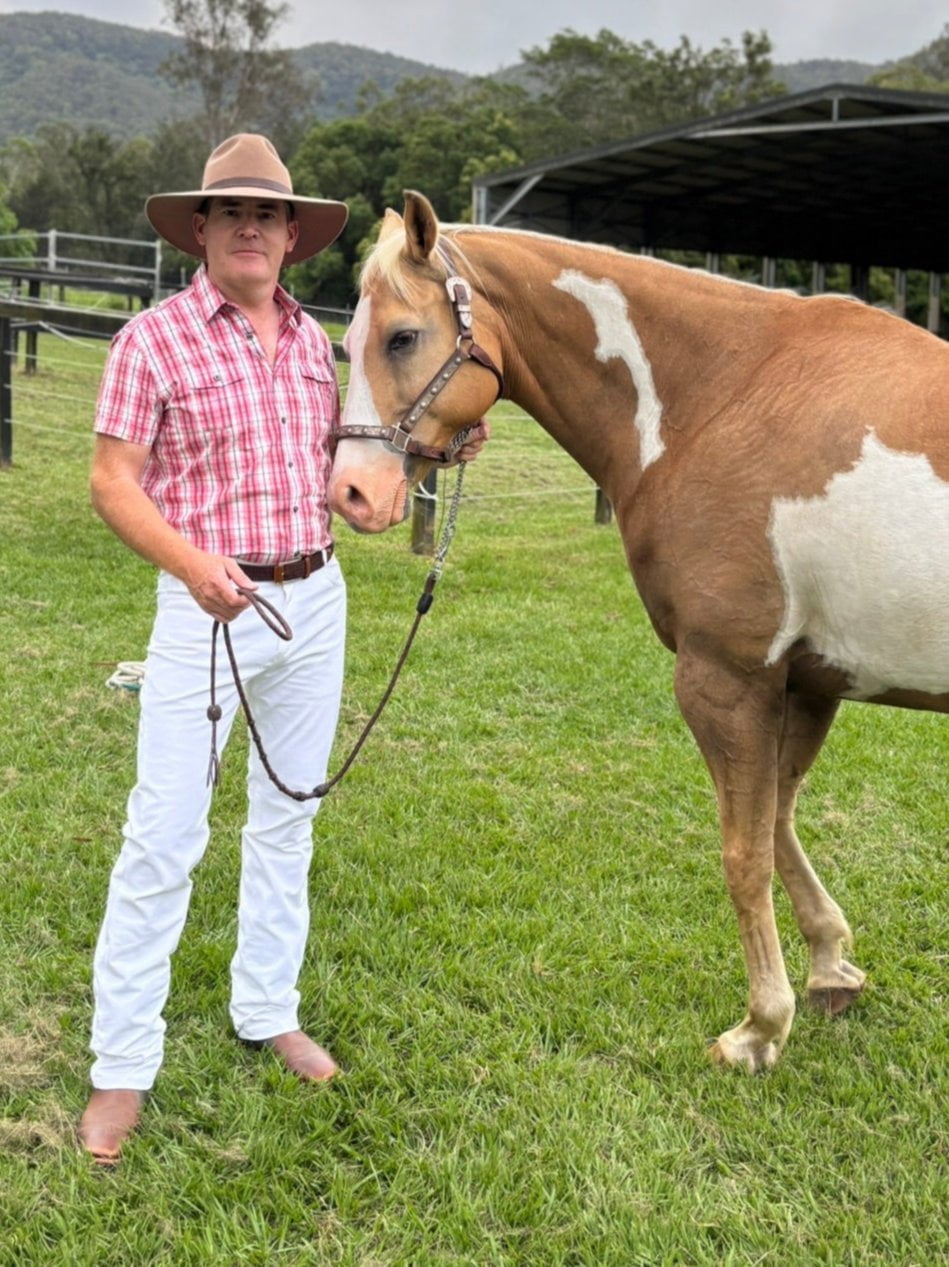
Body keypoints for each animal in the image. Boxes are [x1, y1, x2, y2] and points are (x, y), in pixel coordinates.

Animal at [327, 191, 949, 1072]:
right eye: (345, 342)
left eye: (402, 337)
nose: (350, 491)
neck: (719, 396)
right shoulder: (806, 679)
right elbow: (778, 824)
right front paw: (830, 966)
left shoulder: (723, 678)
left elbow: (743, 852)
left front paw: (759, 1028)